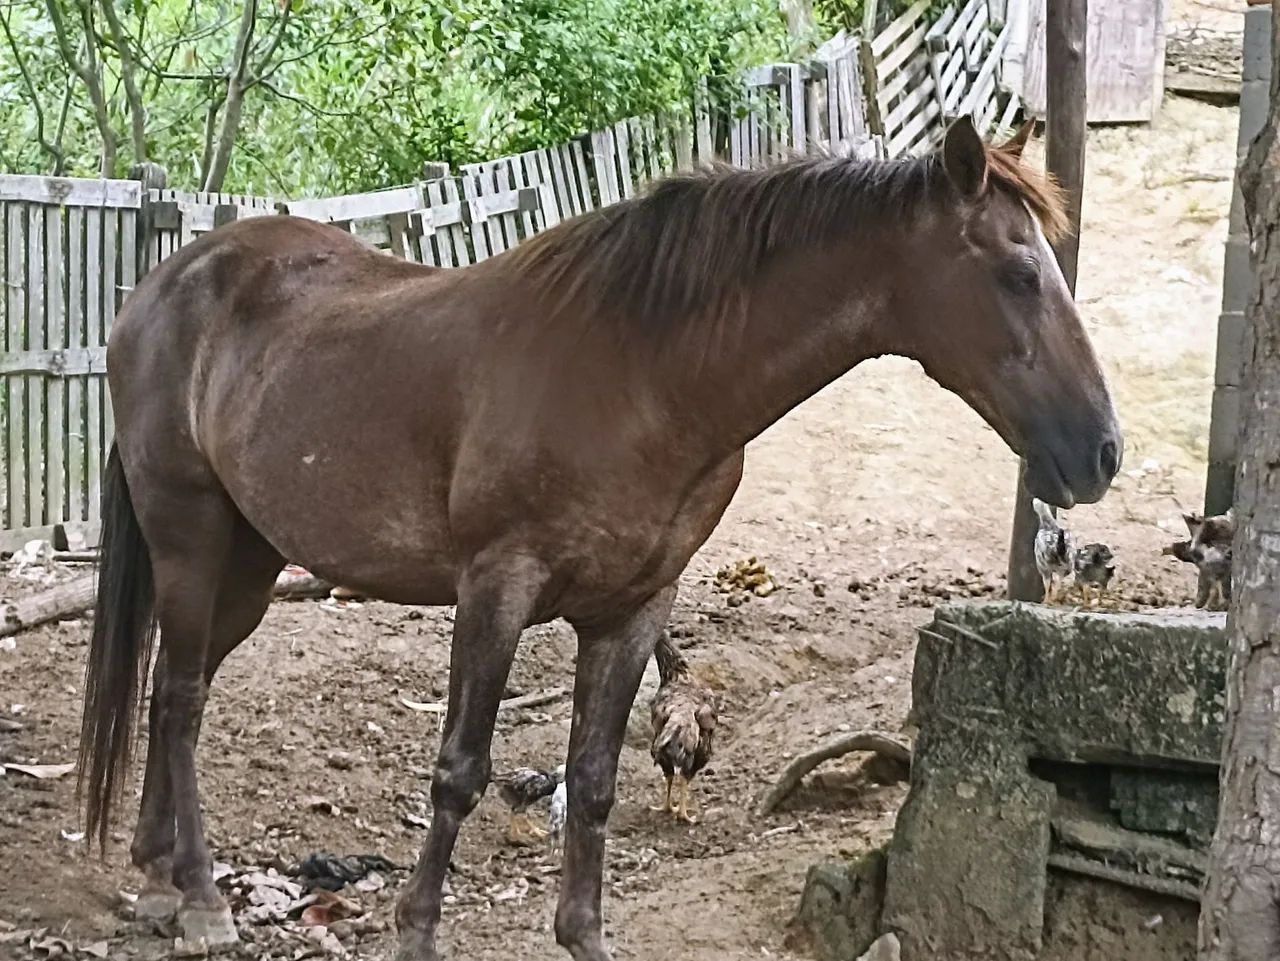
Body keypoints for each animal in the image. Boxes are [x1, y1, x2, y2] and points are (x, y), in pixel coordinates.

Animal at [79, 116, 1121, 961]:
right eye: (1018, 273)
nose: (1101, 451)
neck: (644, 375)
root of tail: (157, 289)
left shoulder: (633, 610)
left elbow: (593, 780)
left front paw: (582, 932)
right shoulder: (496, 588)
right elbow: (460, 771)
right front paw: (417, 930)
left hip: (250, 564)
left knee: (178, 685)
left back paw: (159, 877)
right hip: (190, 536)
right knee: (179, 698)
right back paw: (201, 898)